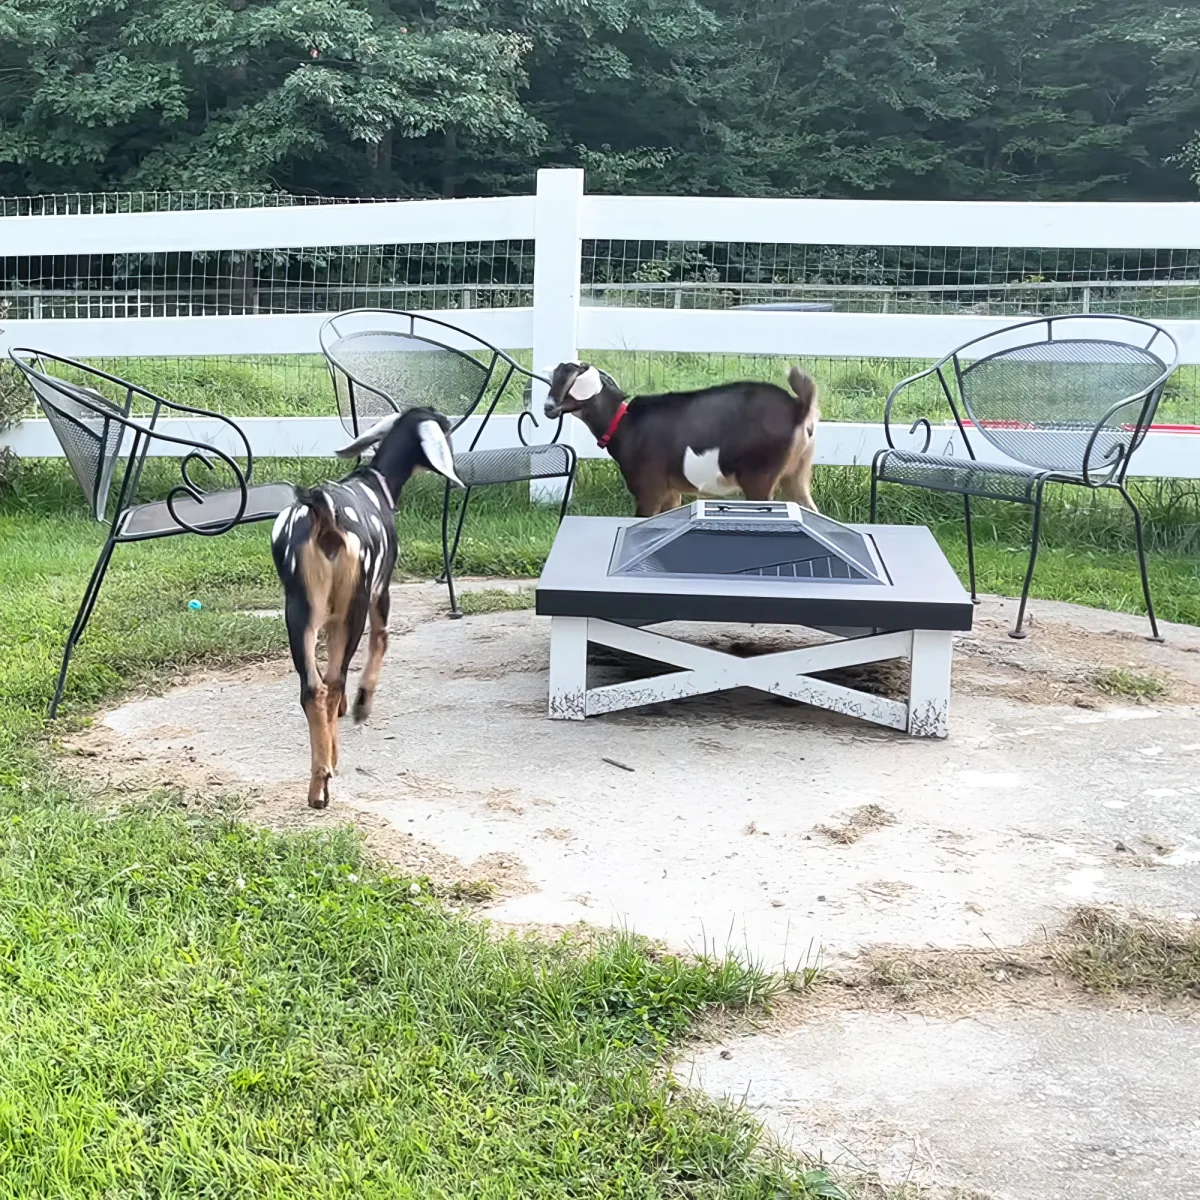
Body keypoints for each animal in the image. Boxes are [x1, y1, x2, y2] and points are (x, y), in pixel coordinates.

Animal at [271, 407, 463, 808]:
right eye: (445, 426)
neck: (376, 483)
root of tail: (324, 516)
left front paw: (347, 709)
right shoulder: (381, 588)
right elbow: (382, 638)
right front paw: (361, 705)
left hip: (298, 610)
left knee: (313, 688)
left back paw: (317, 783)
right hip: (355, 603)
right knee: (334, 679)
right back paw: (329, 769)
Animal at [544, 363, 820, 516]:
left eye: (569, 382)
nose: (548, 408)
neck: (623, 423)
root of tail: (798, 408)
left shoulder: (649, 488)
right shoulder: (671, 491)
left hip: (759, 476)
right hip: (797, 473)